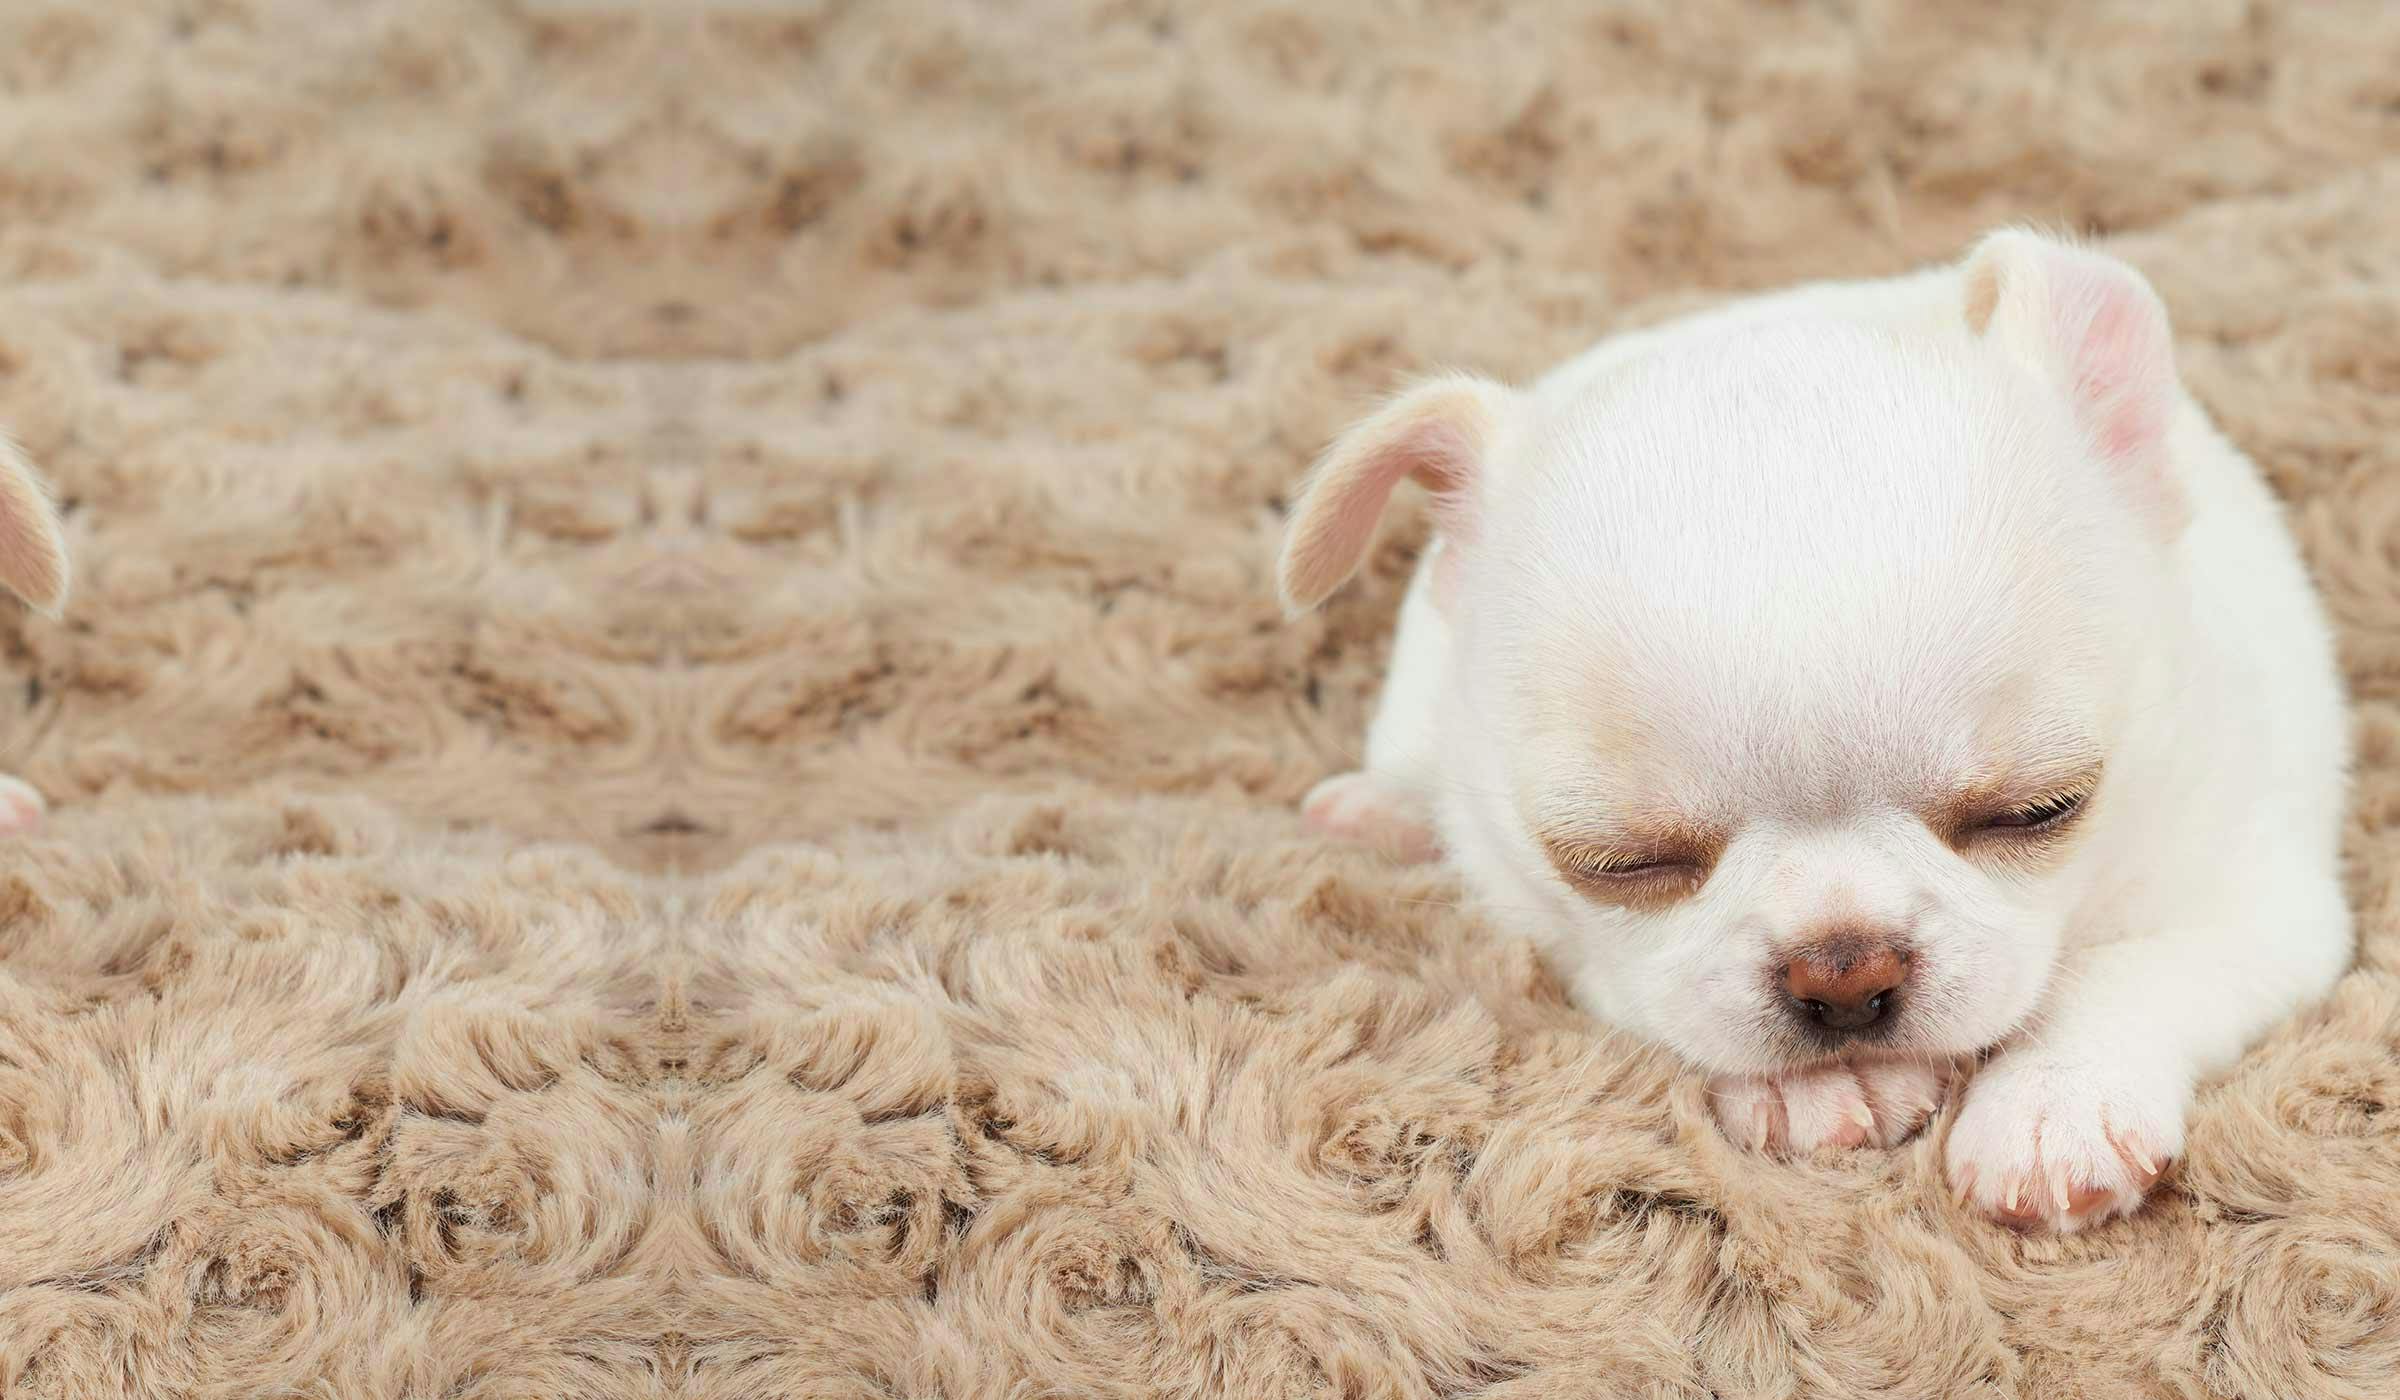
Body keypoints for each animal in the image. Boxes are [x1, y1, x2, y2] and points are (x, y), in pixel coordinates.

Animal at [1286, 232, 2352, 1239]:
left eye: (2038, 810)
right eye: (1621, 862)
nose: (1843, 970)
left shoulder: (2258, 903)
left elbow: (2125, 969)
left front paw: (2056, 1108)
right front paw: (1821, 1087)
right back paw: (1385, 807)